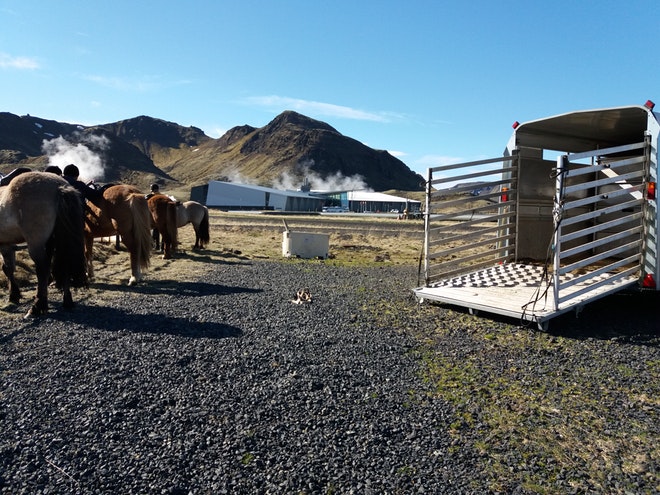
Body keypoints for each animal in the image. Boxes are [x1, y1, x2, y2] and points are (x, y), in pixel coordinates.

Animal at [0, 172, 87, 316]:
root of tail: (58, 187)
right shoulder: (7, 244)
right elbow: (9, 268)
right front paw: (15, 294)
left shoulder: (5, 245)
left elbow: (7, 269)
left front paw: (13, 295)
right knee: (65, 264)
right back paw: (67, 300)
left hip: (36, 244)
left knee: (42, 270)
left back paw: (37, 306)